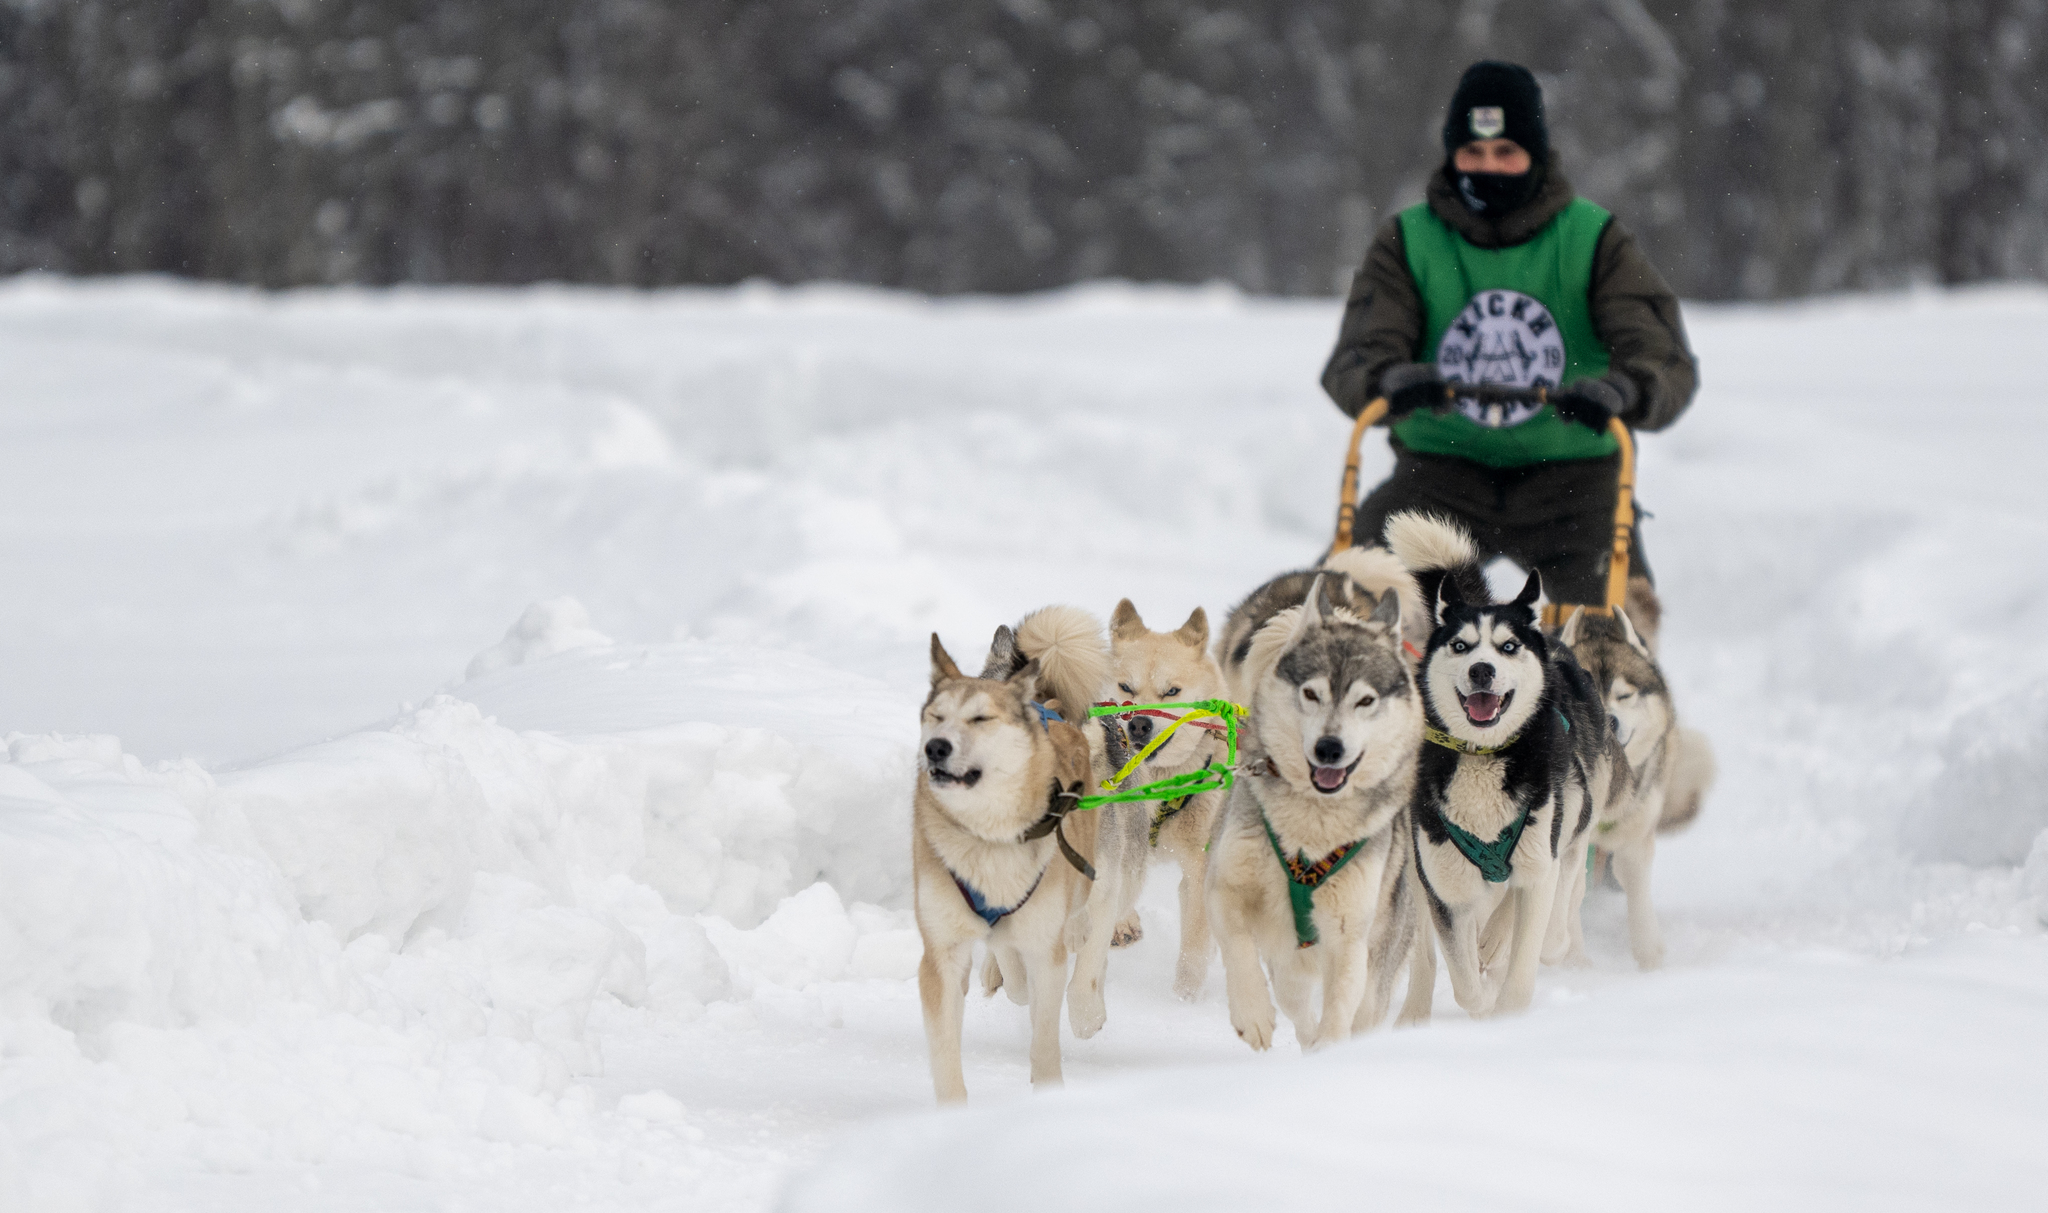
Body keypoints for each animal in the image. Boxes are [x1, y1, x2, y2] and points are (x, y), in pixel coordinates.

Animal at [1204, 557, 1417, 1049]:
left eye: (1365, 700)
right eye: (1311, 693)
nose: (1329, 749)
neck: (1309, 832)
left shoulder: (1347, 937)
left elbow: (1339, 1012)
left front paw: (1330, 1050)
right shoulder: (1226, 890)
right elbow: (1239, 951)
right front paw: (1253, 1015)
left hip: (1376, 966)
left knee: (1361, 1010)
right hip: (1290, 966)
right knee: (1296, 1006)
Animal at [1392, 506, 1630, 1020]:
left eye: (1507, 647)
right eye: (1461, 646)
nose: (1482, 670)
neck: (1482, 758)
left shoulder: (1543, 854)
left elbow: (1522, 954)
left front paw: (1507, 1002)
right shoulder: (1445, 884)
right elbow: (1462, 976)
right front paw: (1482, 1003)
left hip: (1574, 820)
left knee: (1554, 904)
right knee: (1426, 958)